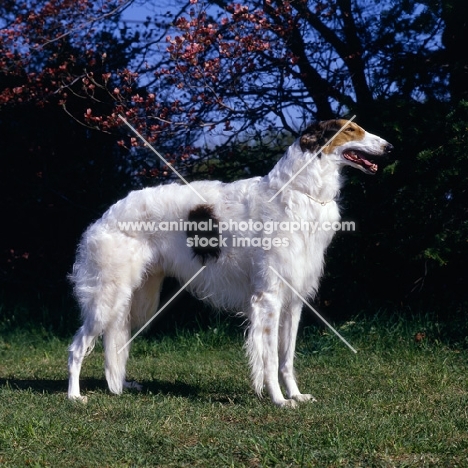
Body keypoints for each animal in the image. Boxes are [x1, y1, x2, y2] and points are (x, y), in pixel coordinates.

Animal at [67, 119, 394, 406]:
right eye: (351, 129)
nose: (390, 147)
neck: (299, 191)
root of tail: (104, 217)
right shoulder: (268, 298)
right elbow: (270, 358)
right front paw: (279, 400)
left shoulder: (294, 299)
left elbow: (287, 359)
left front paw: (296, 395)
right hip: (108, 297)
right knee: (77, 347)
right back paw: (74, 396)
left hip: (137, 301)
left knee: (115, 345)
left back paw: (121, 386)